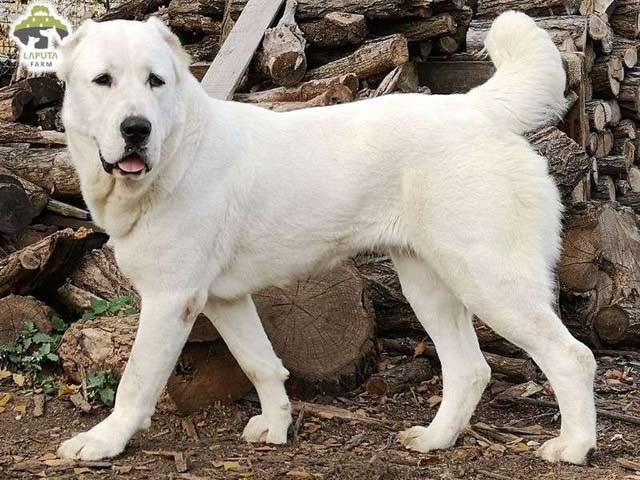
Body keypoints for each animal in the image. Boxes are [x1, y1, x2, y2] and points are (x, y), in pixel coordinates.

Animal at [53, 12, 596, 464]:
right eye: (103, 81)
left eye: (156, 82)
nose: (136, 129)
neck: (177, 152)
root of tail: (475, 108)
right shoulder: (224, 300)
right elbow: (261, 365)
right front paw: (276, 428)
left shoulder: (171, 300)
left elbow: (136, 380)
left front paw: (103, 441)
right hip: (428, 285)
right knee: (470, 369)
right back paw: (435, 439)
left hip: (491, 281)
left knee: (573, 357)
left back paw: (572, 448)